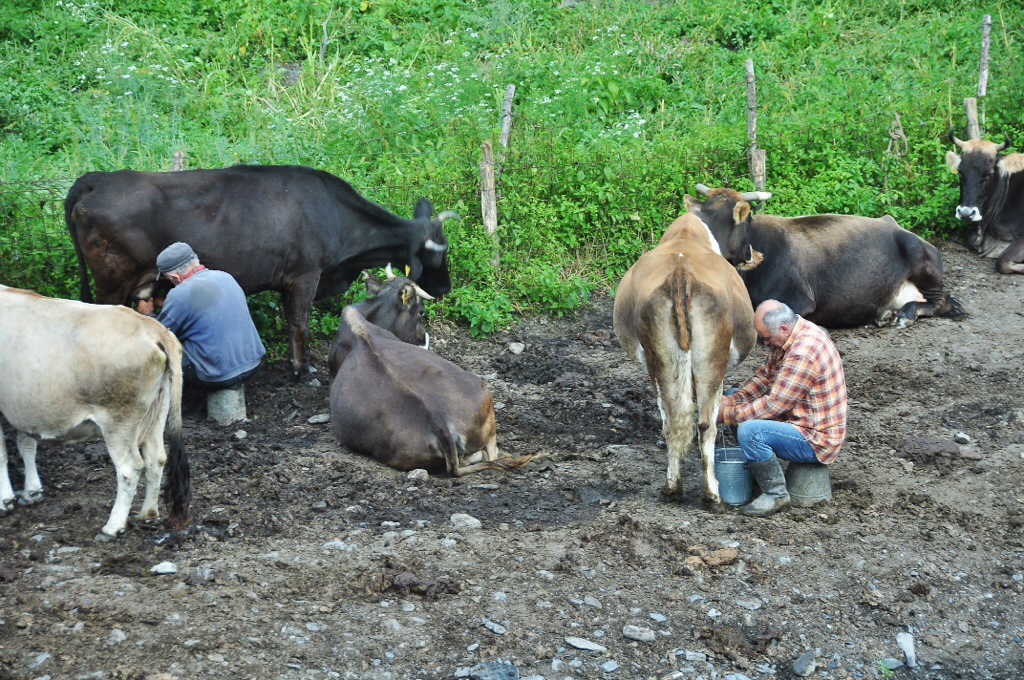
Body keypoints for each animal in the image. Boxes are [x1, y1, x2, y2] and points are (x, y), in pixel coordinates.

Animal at [0, 285, 190, 541]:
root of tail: (154, 328)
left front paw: (5, 500)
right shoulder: (25, 409)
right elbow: (26, 444)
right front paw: (31, 491)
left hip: (118, 422)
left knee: (130, 469)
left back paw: (112, 527)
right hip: (158, 410)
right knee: (156, 458)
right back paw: (147, 514)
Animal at [64, 165, 457, 376]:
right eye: (438, 254)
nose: (446, 288)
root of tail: (96, 179)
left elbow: (290, 322)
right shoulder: (305, 275)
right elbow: (300, 322)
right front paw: (303, 370)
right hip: (111, 282)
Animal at [614, 212, 756, 504]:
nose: (750, 254)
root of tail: (680, 270)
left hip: (660, 362)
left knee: (672, 420)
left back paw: (672, 487)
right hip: (713, 363)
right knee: (705, 424)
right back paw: (711, 493)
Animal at [685, 185, 965, 328]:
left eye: (747, 219)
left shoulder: (797, 299)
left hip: (921, 260)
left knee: (941, 302)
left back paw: (904, 316)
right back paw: (885, 315)